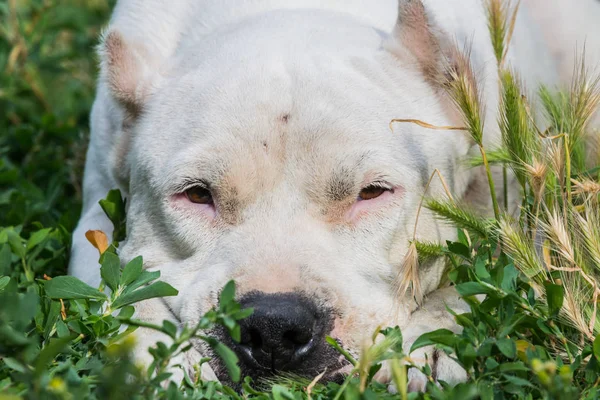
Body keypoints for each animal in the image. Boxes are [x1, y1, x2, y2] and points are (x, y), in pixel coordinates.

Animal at [70, 0, 600, 390]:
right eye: (198, 195)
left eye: (371, 192)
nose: (274, 325)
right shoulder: (94, 225)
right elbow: (119, 289)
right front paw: (151, 354)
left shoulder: (523, 220)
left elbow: (481, 280)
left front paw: (434, 341)